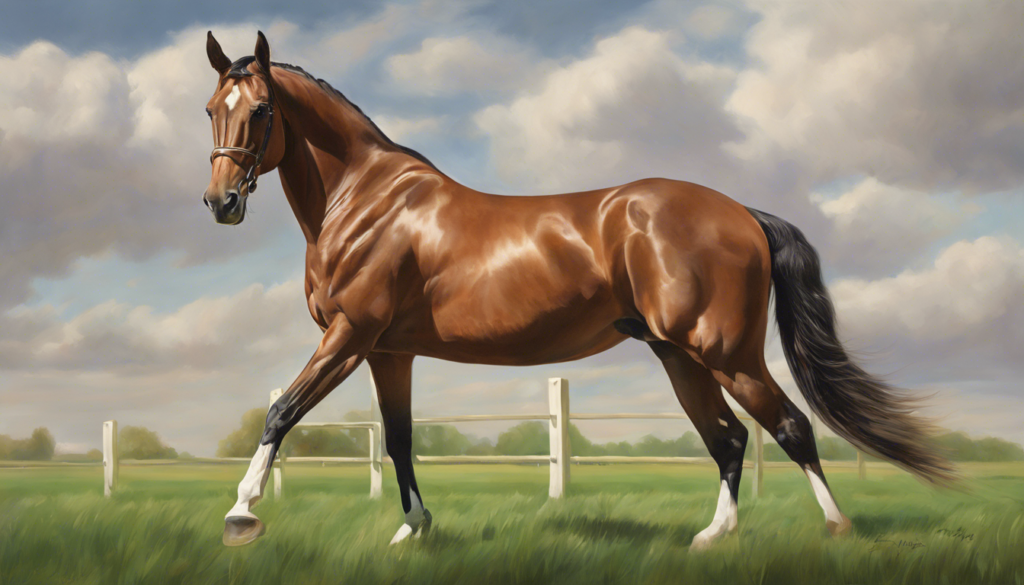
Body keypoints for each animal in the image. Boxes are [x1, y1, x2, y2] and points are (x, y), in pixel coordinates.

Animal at [202, 32, 955, 549]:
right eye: (211, 108)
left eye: (262, 110)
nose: (220, 203)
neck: (365, 202)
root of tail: (742, 213)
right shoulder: (390, 351)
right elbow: (398, 439)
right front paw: (414, 528)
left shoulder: (350, 335)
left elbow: (282, 412)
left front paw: (241, 513)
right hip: (679, 356)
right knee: (731, 439)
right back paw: (713, 537)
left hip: (726, 352)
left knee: (789, 426)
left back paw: (836, 528)